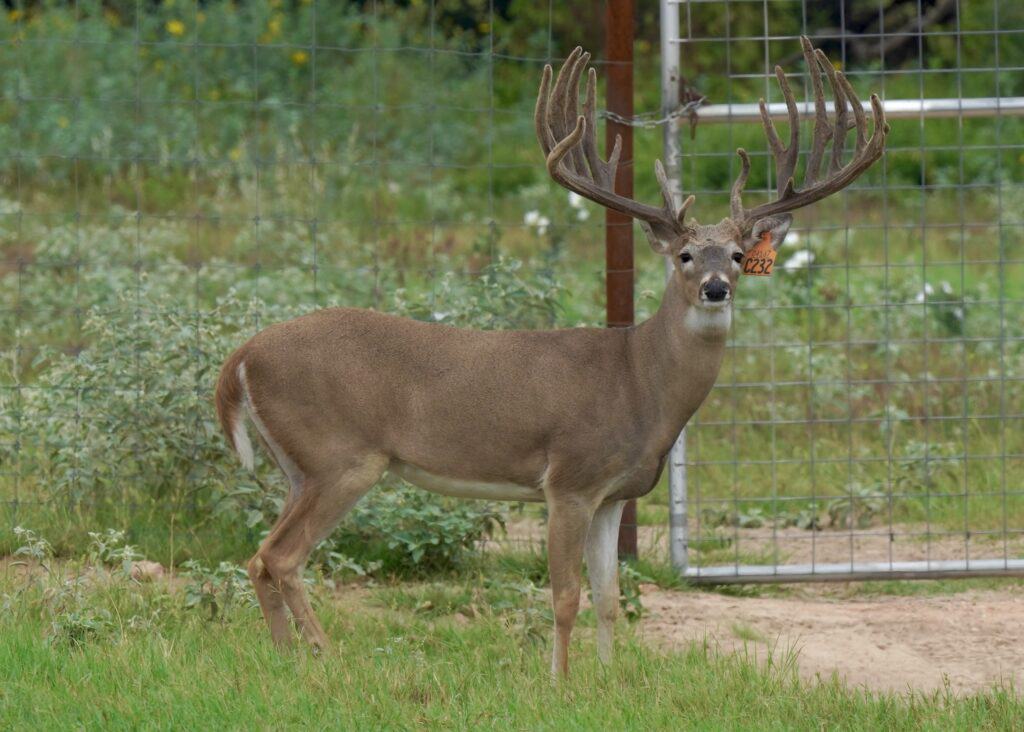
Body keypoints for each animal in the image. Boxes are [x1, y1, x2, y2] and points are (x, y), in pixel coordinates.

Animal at [214, 37, 887, 677]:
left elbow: (611, 597)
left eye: (741, 256)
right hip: (340, 457)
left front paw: (609, 681)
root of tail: (242, 354)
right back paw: (326, 659)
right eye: (686, 257)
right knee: (281, 555)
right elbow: (565, 596)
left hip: (300, 466)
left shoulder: (615, 495)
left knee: (259, 558)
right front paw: (560, 683)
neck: (639, 381)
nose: (717, 288)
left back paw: (286, 659)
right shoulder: (568, 479)